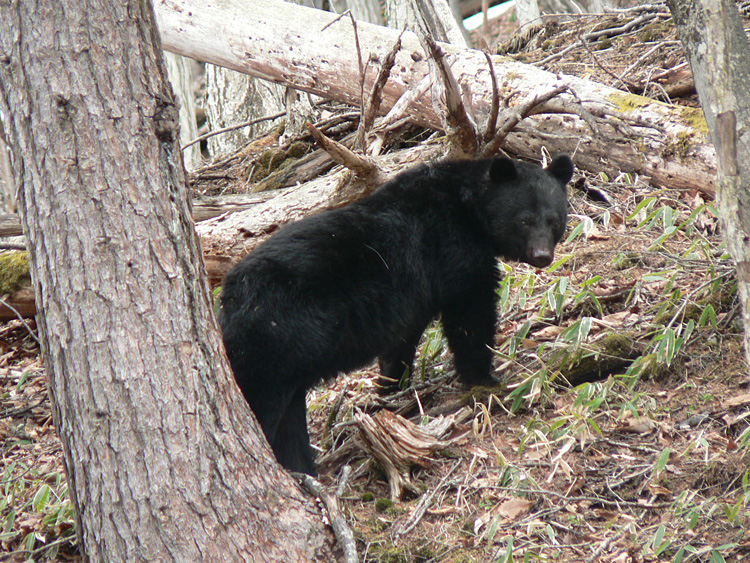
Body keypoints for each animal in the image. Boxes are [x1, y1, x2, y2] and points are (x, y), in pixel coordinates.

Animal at [220, 154, 572, 476]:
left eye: (554, 220)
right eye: (524, 220)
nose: (542, 256)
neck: (468, 208)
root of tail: (230, 298)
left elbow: (402, 340)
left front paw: (389, 388)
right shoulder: (452, 249)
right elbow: (470, 312)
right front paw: (484, 379)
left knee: (289, 419)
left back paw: (301, 468)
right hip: (276, 336)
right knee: (263, 401)